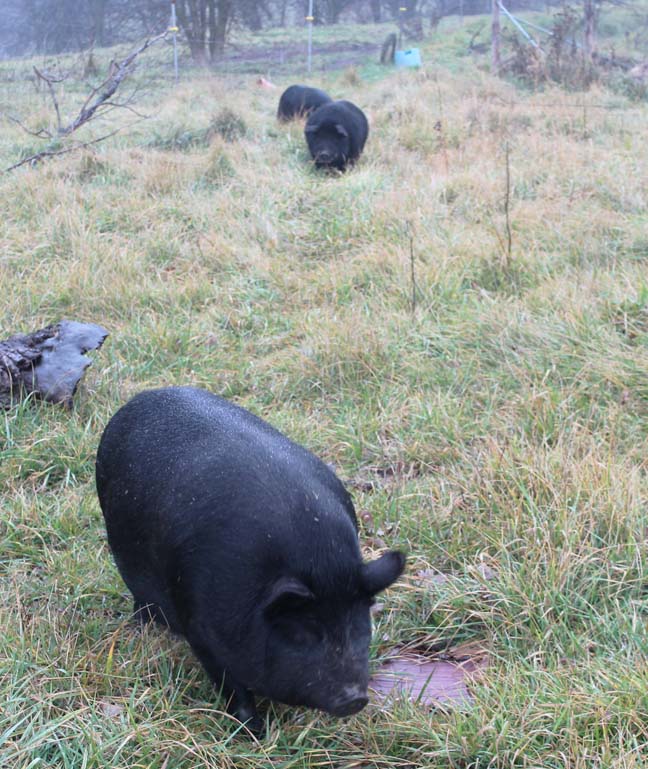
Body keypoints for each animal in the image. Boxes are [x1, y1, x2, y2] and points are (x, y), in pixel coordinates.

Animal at [95, 386, 405, 734]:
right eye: (305, 631)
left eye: (359, 625)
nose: (355, 698)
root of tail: (138, 400)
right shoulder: (199, 626)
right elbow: (231, 684)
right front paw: (253, 731)